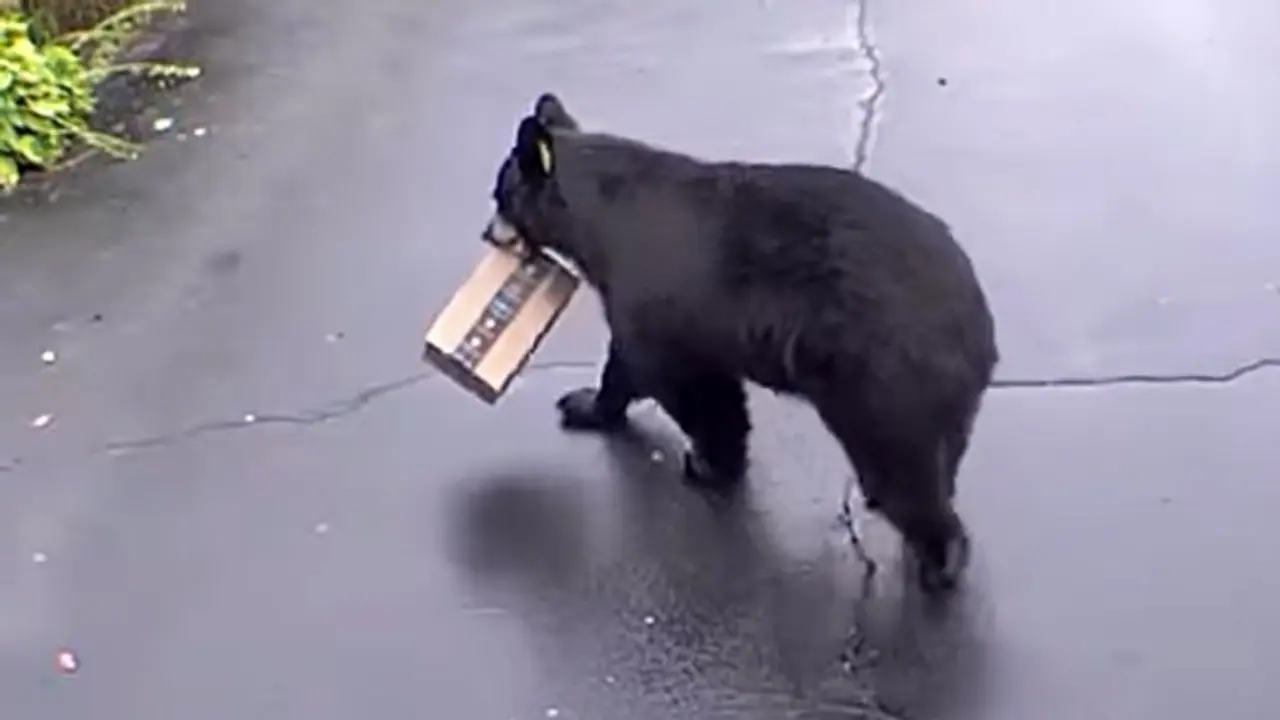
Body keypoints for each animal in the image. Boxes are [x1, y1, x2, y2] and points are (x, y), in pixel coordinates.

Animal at [482, 93, 999, 594]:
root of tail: (977, 320)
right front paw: (588, 404)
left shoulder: (658, 289)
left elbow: (680, 377)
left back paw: (940, 559)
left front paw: (709, 461)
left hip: (881, 372)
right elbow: (644, 365)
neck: (603, 217)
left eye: (500, 193)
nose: (488, 233)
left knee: (900, 465)